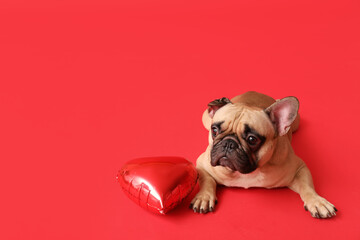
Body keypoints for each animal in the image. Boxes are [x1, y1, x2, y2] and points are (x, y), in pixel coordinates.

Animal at [191, 91, 338, 218]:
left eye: (252, 139)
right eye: (214, 130)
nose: (229, 143)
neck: (246, 173)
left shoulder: (299, 168)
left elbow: (307, 186)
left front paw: (317, 201)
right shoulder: (202, 164)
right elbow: (206, 179)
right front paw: (204, 197)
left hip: (296, 122)